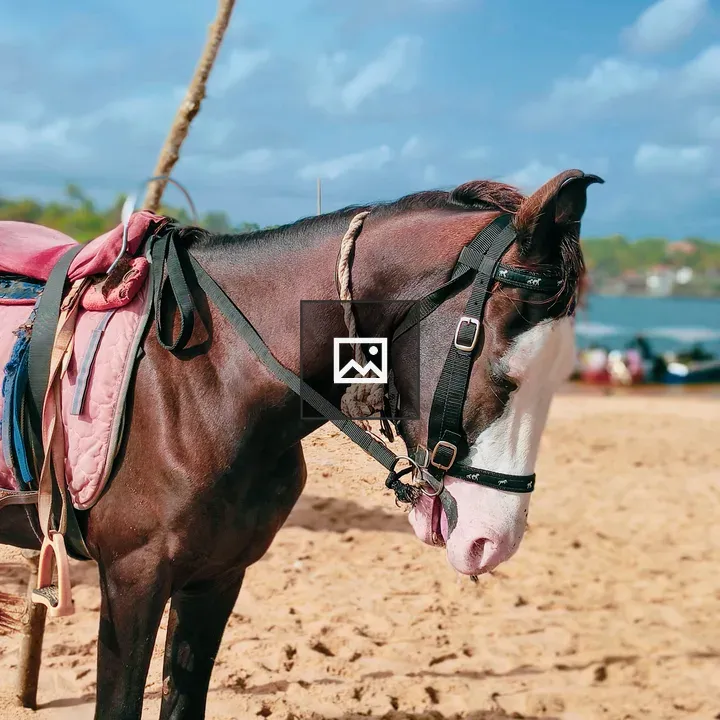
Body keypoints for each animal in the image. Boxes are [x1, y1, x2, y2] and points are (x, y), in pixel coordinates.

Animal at [0, 168, 602, 719]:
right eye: (501, 371)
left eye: (561, 376)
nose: (493, 542)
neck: (209, 378)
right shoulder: (133, 579)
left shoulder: (216, 577)